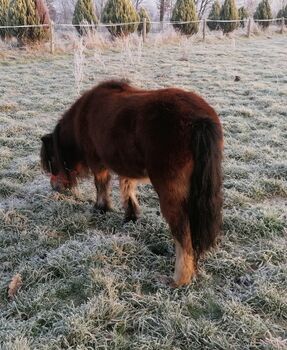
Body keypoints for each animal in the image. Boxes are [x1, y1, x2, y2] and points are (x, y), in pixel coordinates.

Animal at [41, 80, 225, 288]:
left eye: (52, 160)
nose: (54, 187)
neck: (83, 115)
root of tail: (199, 121)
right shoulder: (125, 165)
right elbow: (127, 188)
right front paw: (131, 216)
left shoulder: (98, 163)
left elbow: (101, 186)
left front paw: (100, 208)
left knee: (182, 232)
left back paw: (178, 279)